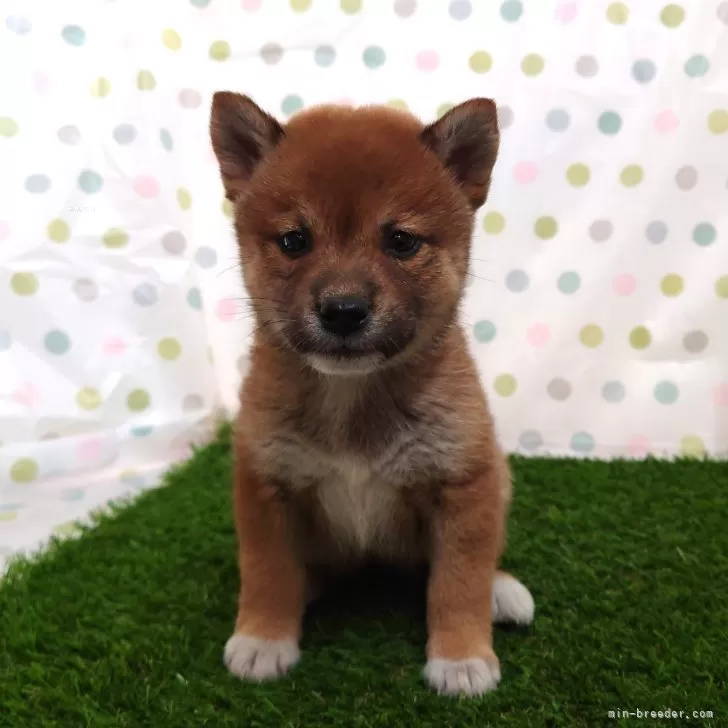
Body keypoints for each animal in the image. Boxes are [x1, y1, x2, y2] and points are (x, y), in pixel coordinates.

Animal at [210, 94, 536, 696]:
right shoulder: (266, 485)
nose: (343, 310)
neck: (351, 398)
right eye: (295, 240)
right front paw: (264, 636)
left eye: (401, 241)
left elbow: (459, 581)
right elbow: (268, 571)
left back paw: (501, 590)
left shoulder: (465, 484)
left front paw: (461, 656)